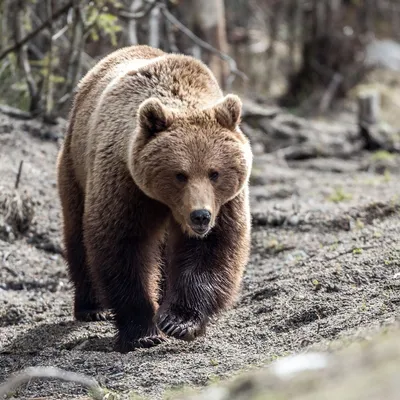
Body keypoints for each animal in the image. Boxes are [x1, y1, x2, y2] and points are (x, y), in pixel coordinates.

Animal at [55, 44, 252, 354]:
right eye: (180, 174)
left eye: (214, 173)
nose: (200, 216)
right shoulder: (126, 183)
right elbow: (123, 246)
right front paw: (142, 332)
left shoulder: (226, 203)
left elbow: (213, 248)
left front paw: (178, 321)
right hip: (75, 165)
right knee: (77, 233)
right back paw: (92, 307)